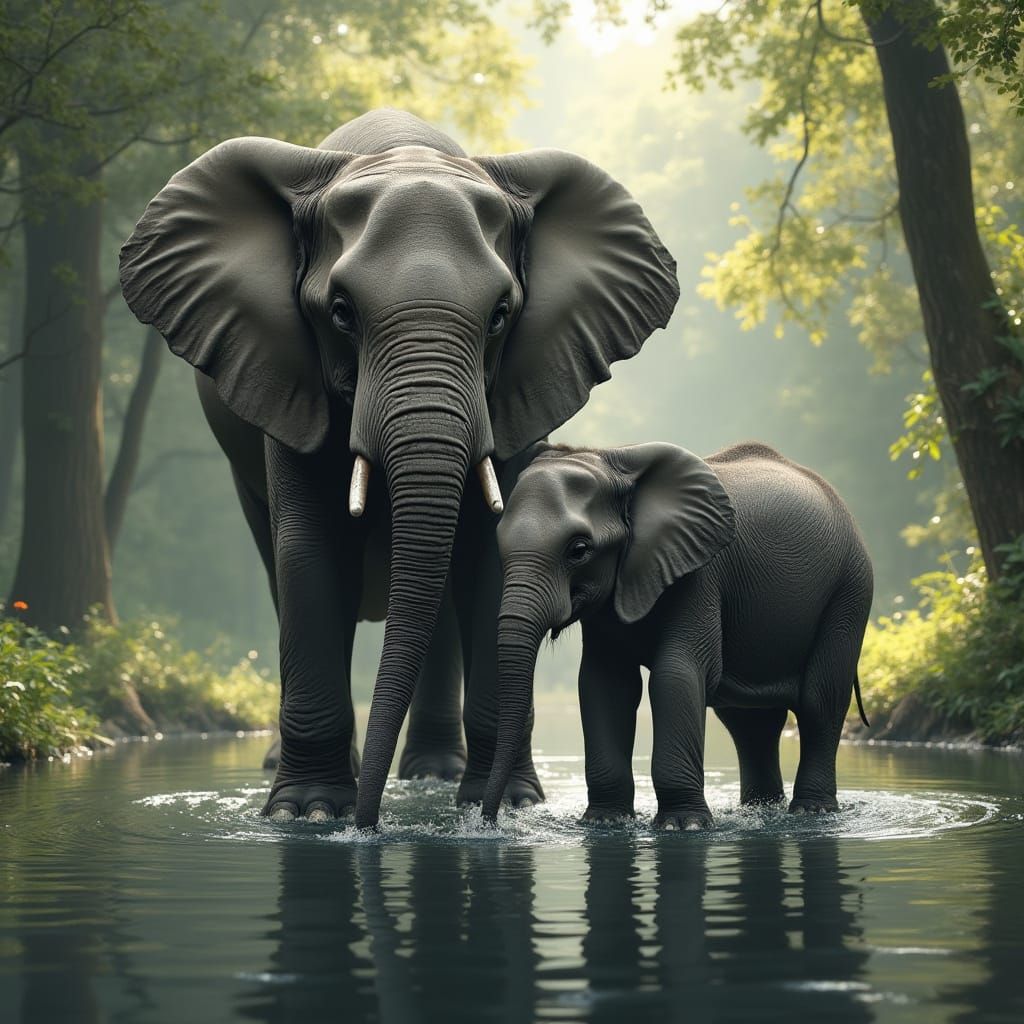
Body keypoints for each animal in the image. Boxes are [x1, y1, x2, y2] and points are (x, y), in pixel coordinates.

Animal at [118, 108, 679, 828]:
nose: (368, 821)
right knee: (279, 569)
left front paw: (510, 805)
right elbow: (311, 551)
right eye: (340, 312)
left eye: (500, 315)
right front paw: (309, 814)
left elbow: (491, 552)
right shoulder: (288, 377)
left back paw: (432, 773)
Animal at [482, 440, 873, 829]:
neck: (610, 459)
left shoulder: (700, 573)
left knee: (819, 700)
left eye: (579, 549)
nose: (489, 821)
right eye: (498, 545)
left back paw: (812, 812)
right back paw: (759, 811)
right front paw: (605, 821)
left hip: (850, 589)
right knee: (749, 721)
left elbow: (675, 675)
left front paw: (682, 826)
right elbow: (604, 684)